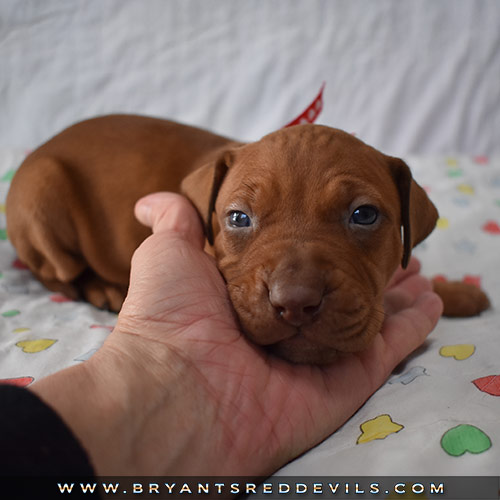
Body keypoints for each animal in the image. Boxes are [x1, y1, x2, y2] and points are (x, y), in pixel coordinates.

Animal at [5, 114, 490, 364]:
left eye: (364, 215)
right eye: (238, 218)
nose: (295, 303)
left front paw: (456, 292)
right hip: (40, 197)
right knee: (57, 273)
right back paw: (104, 288)